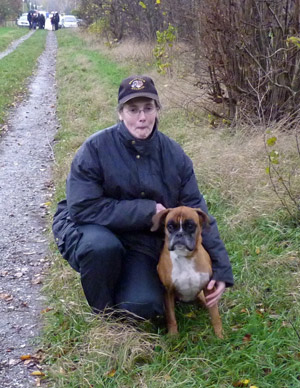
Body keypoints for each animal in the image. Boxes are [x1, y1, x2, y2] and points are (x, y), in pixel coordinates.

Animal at [152, 206, 223, 336]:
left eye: (190, 225)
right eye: (170, 226)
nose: (179, 234)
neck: (185, 257)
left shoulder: (208, 288)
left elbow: (215, 314)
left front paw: (220, 335)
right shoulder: (168, 291)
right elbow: (171, 317)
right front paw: (173, 336)